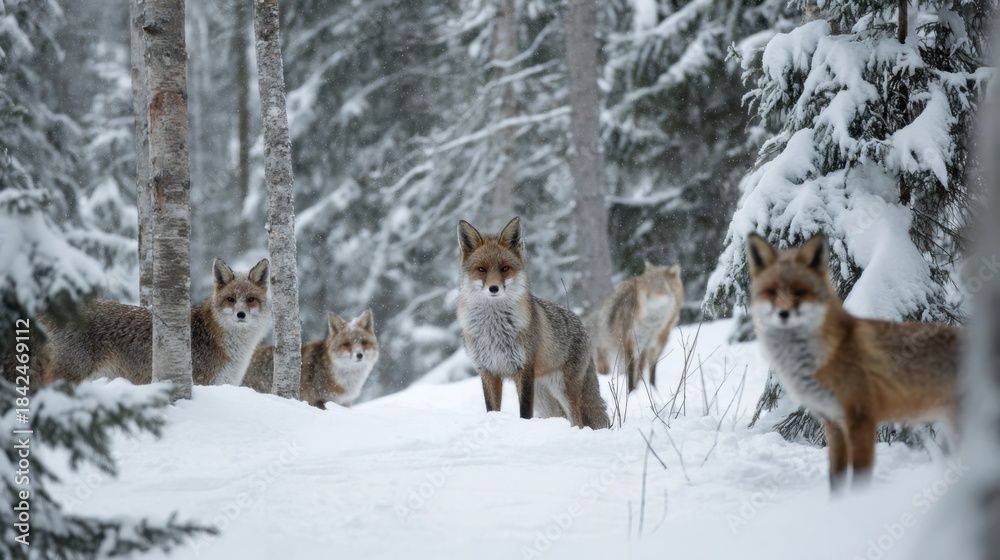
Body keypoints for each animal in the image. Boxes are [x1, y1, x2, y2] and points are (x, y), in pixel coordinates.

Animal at [456, 217, 608, 430]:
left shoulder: (524, 369)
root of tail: (582, 326)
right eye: (481, 269)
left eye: (505, 268)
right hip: (545, 399)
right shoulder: (488, 371)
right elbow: (492, 409)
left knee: (577, 419)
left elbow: (525, 412)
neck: (494, 330)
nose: (494, 288)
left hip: (563, 389)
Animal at [586, 262, 684, 392]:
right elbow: (631, 376)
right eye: (645, 284)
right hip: (605, 363)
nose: (646, 295)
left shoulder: (655, 348)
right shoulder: (631, 344)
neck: (651, 326)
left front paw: (653, 392)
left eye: (658, 286)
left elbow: (652, 376)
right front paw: (632, 394)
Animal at [746, 233, 961, 492]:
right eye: (772, 291)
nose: (783, 314)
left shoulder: (861, 419)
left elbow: (859, 479)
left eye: (799, 292)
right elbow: (836, 480)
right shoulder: (834, 424)